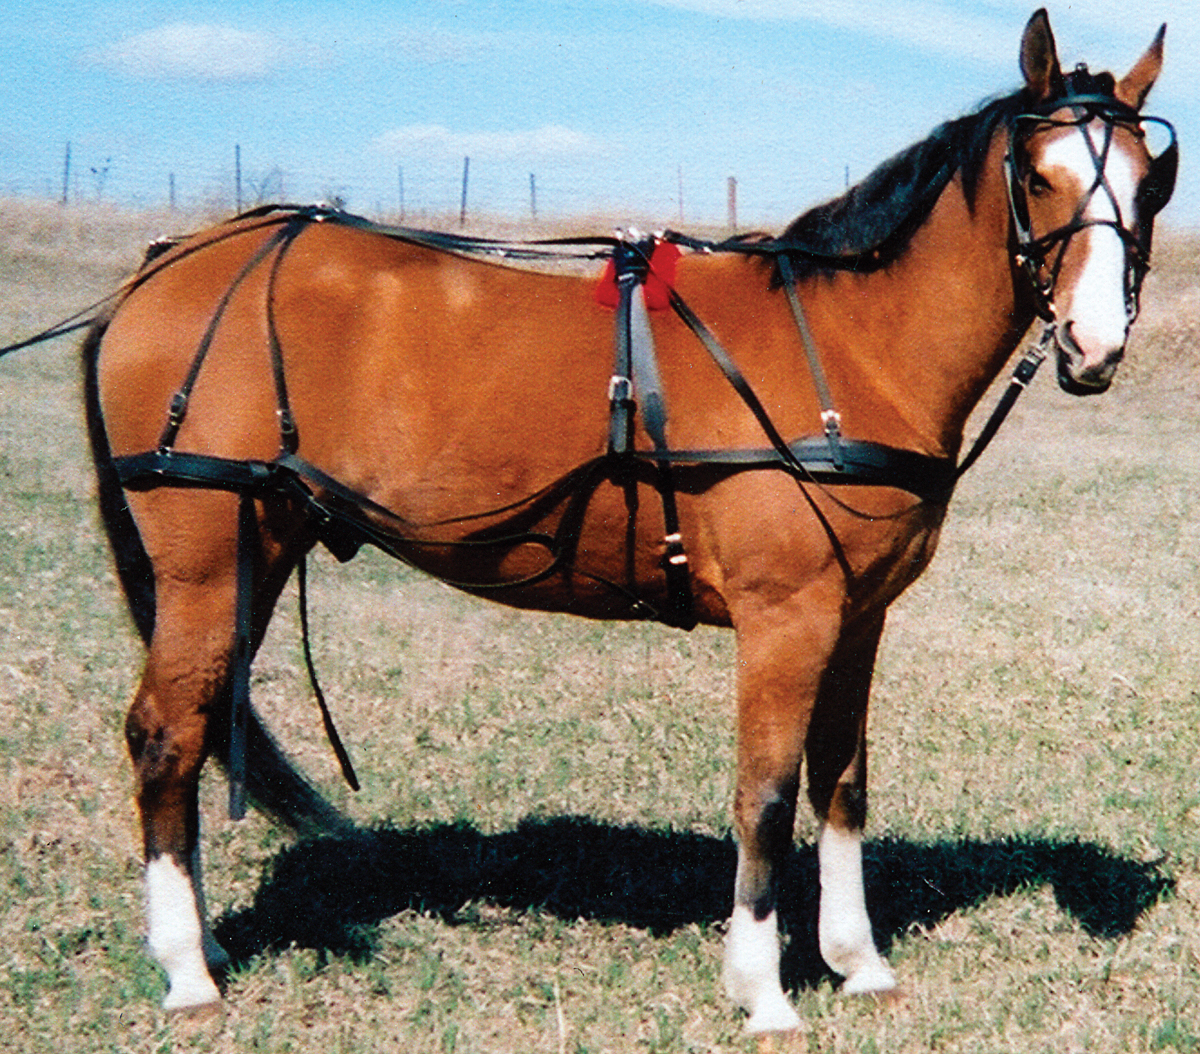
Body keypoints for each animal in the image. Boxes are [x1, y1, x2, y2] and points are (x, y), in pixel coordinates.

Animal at [77, 9, 1174, 1033]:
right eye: (1040, 177)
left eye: (1148, 179)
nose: (1096, 343)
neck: (845, 344)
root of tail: (165, 266)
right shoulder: (785, 618)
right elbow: (766, 795)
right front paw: (763, 988)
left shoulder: (858, 615)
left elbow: (841, 784)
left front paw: (857, 961)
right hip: (205, 564)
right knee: (165, 735)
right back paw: (186, 969)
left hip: (257, 553)